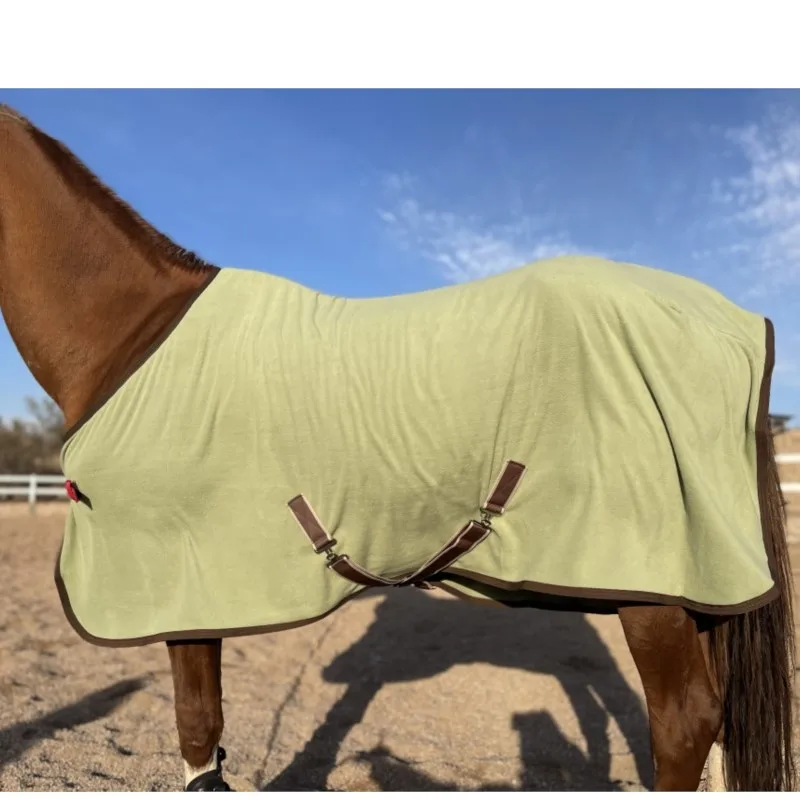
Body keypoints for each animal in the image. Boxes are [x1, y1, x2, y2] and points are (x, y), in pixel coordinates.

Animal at [0, 102, 794, 791]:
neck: (132, 336)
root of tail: (735, 320)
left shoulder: (180, 581)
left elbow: (198, 731)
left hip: (655, 589)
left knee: (684, 721)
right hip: (696, 593)